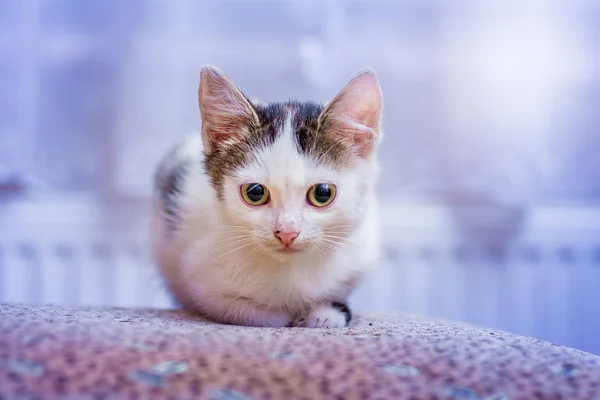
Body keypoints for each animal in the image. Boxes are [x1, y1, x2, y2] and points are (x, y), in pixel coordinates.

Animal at [151, 66, 384, 328]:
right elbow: (248, 312)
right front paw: (285, 315)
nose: (287, 233)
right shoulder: (198, 282)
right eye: (255, 193)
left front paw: (325, 313)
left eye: (323, 193)